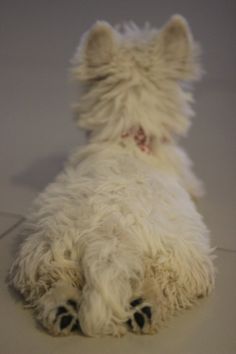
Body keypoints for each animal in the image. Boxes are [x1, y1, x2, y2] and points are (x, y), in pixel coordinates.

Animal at [8, 15, 216, 338]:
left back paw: (64, 312)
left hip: (44, 249)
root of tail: (110, 241)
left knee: (55, 280)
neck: (127, 138)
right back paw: (147, 308)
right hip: (186, 259)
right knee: (163, 282)